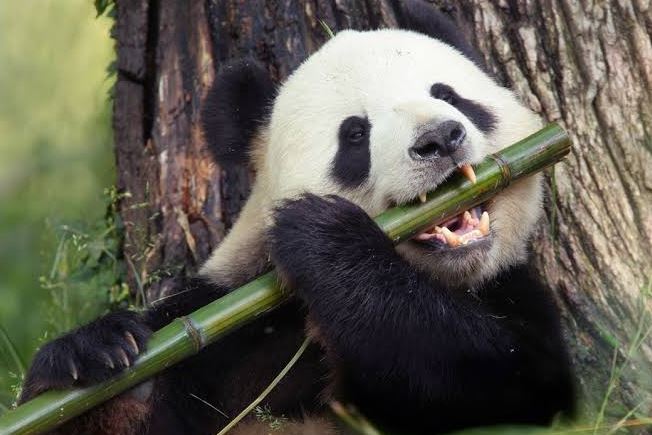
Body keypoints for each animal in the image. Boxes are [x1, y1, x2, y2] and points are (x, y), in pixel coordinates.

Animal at [18, 2, 575, 434]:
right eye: (355, 134)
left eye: (448, 95)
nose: (439, 138)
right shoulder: (227, 325)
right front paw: (93, 358)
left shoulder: (512, 292)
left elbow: (500, 380)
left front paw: (325, 238)